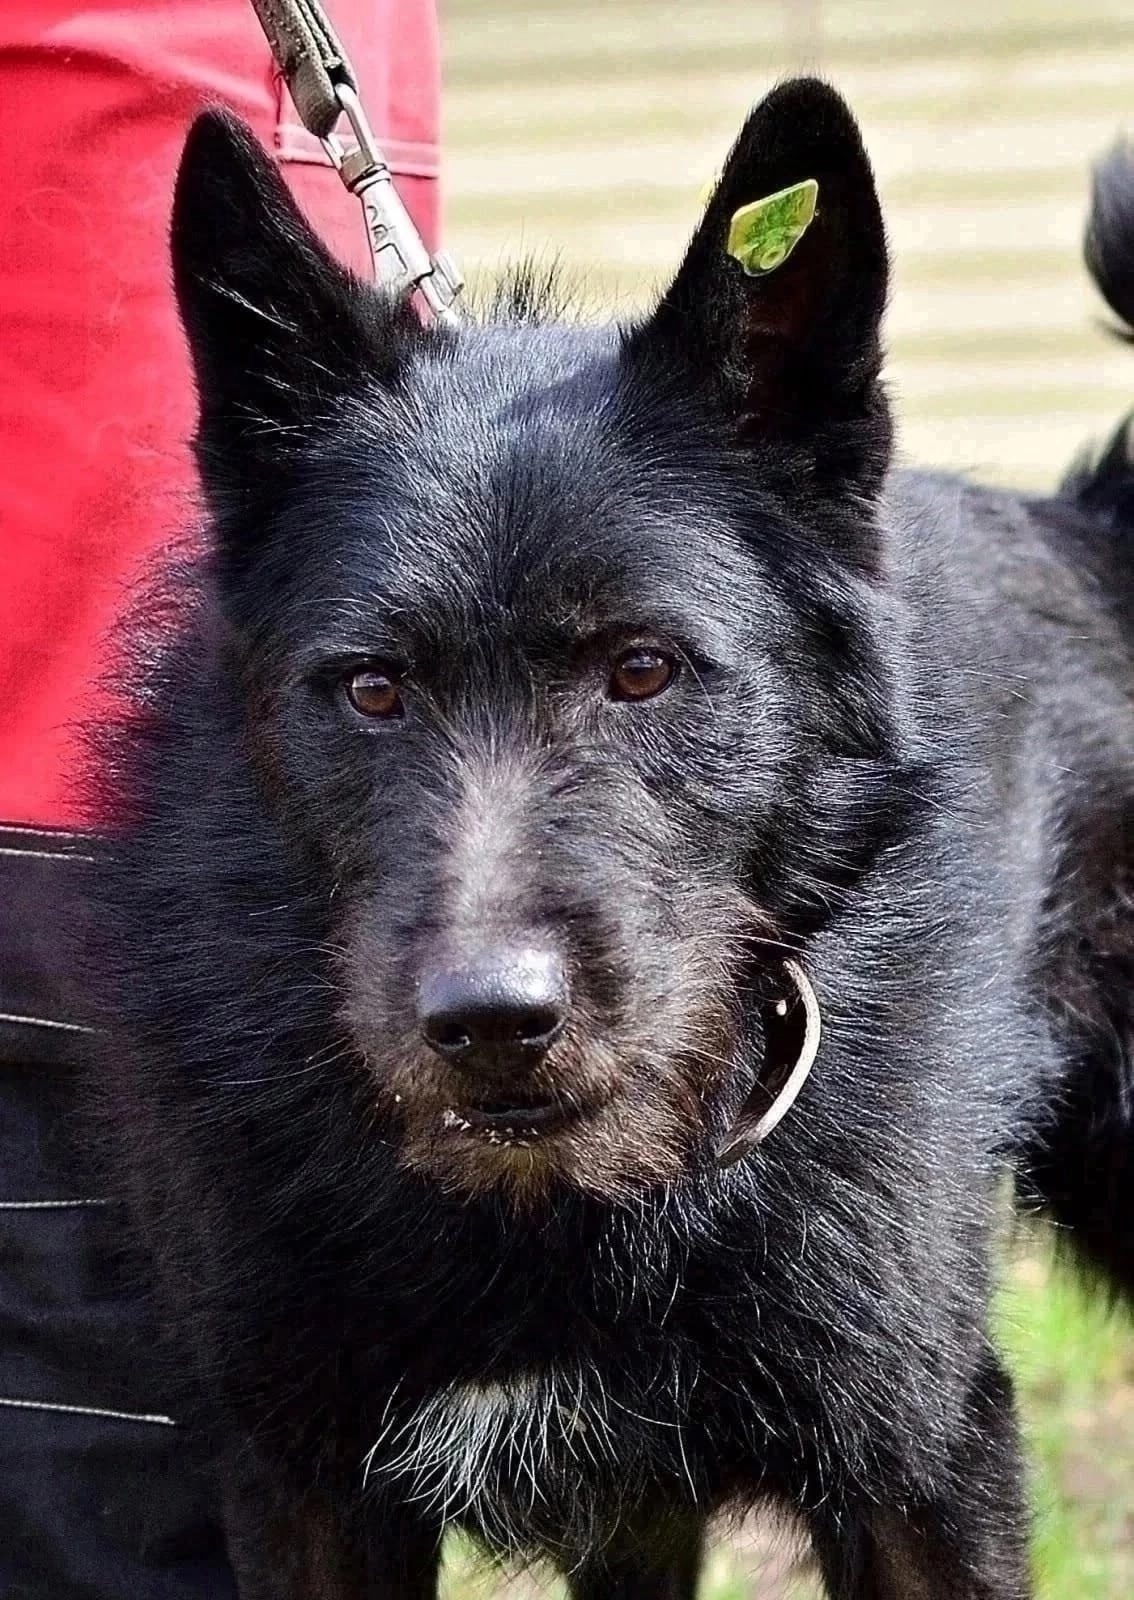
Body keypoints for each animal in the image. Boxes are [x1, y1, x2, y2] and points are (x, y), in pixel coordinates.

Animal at [79, 76, 1134, 1599]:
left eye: (643, 669)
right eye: (371, 688)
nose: (491, 1022)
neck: (555, 1208)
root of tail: (1093, 527)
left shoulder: (919, 1462)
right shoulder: (305, 1486)